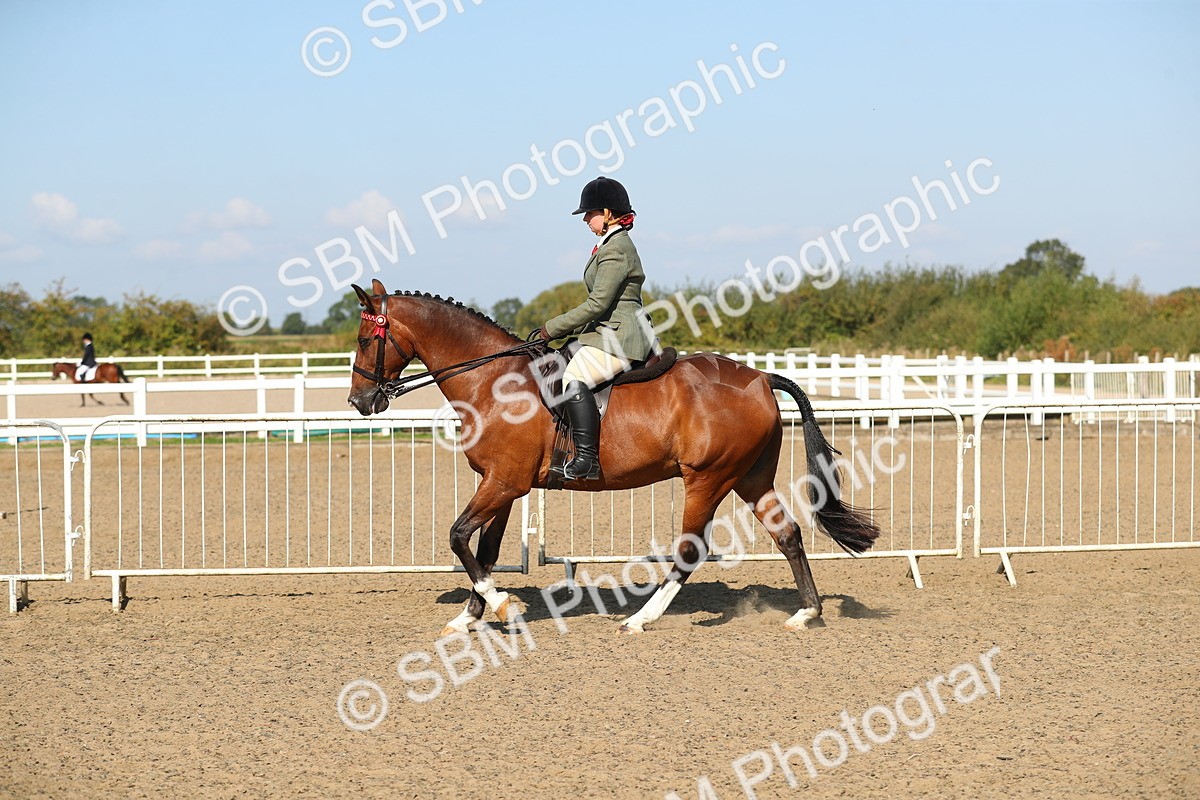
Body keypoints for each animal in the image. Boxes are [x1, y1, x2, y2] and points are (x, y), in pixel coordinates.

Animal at [347, 279, 881, 635]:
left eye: (365, 339)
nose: (359, 402)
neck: (493, 382)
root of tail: (759, 378)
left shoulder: (504, 482)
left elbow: (459, 536)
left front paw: (501, 607)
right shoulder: (500, 484)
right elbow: (483, 550)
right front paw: (470, 616)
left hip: (707, 478)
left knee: (691, 550)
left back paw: (641, 618)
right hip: (750, 477)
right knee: (788, 534)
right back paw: (806, 613)